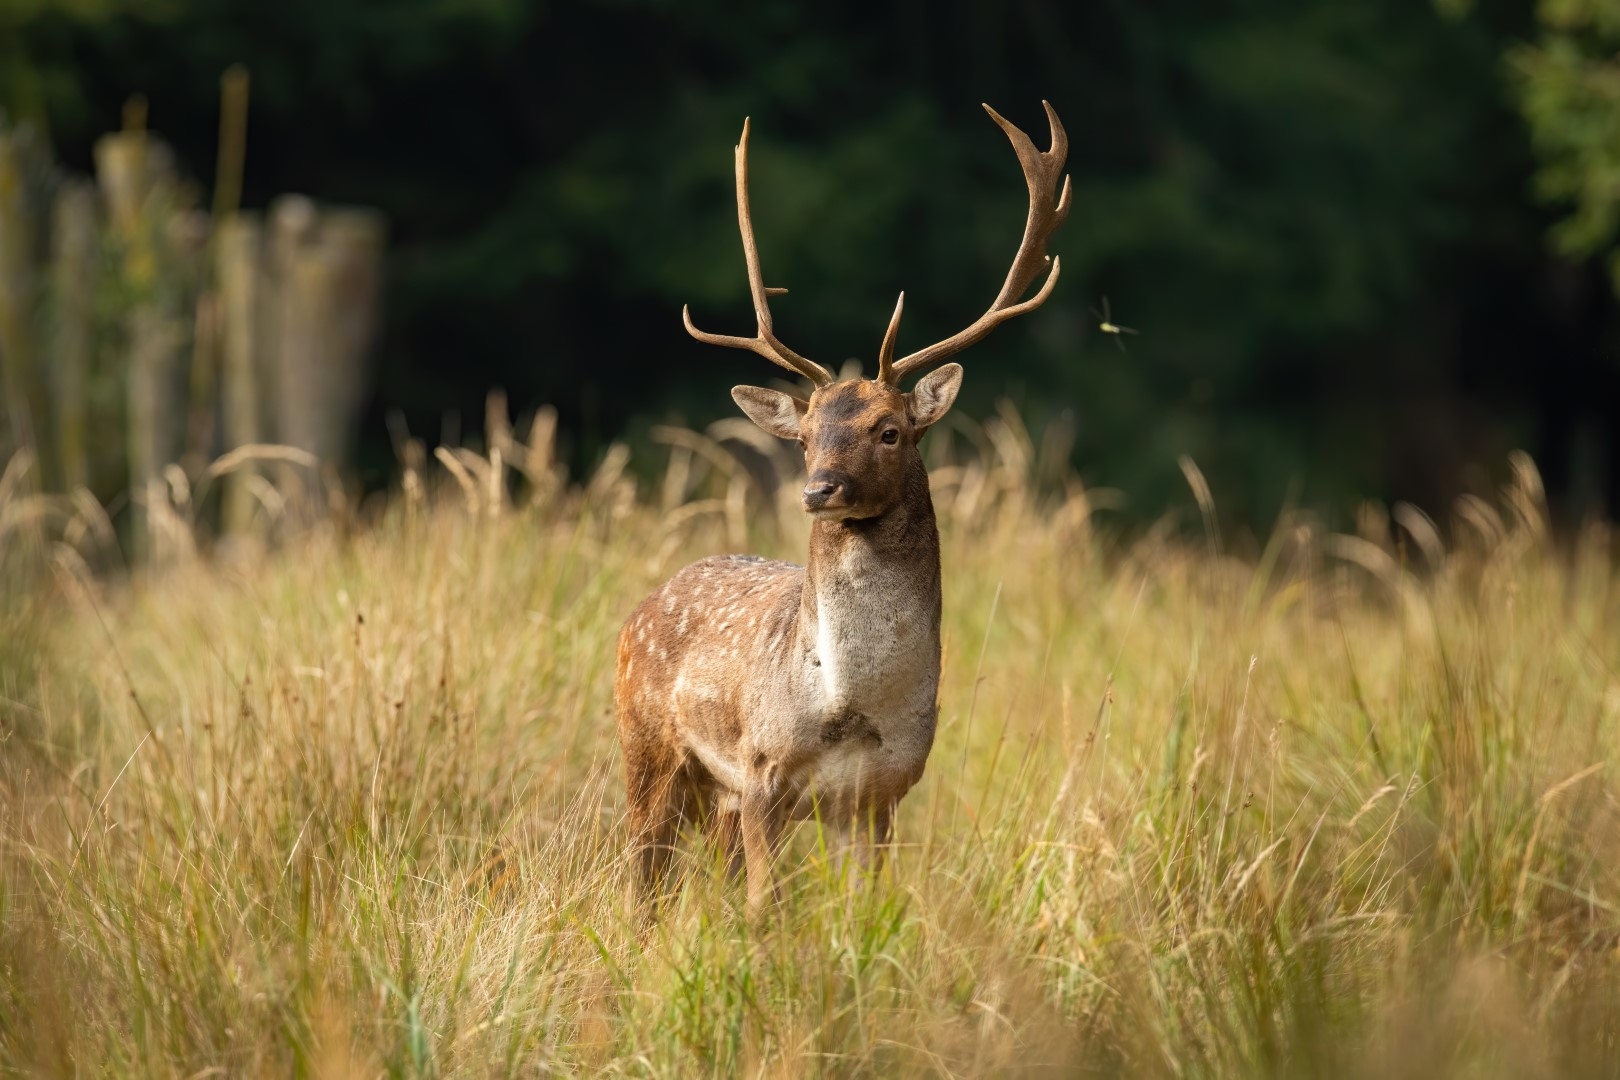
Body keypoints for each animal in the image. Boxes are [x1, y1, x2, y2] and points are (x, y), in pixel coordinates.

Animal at [612, 101, 1069, 919]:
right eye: (805, 437)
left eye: (889, 430)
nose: (817, 489)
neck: (846, 711)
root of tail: (644, 605)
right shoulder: (762, 769)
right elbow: (763, 908)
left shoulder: (881, 795)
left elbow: (861, 914)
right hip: (647, 747)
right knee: (644, 880)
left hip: (716, 799)